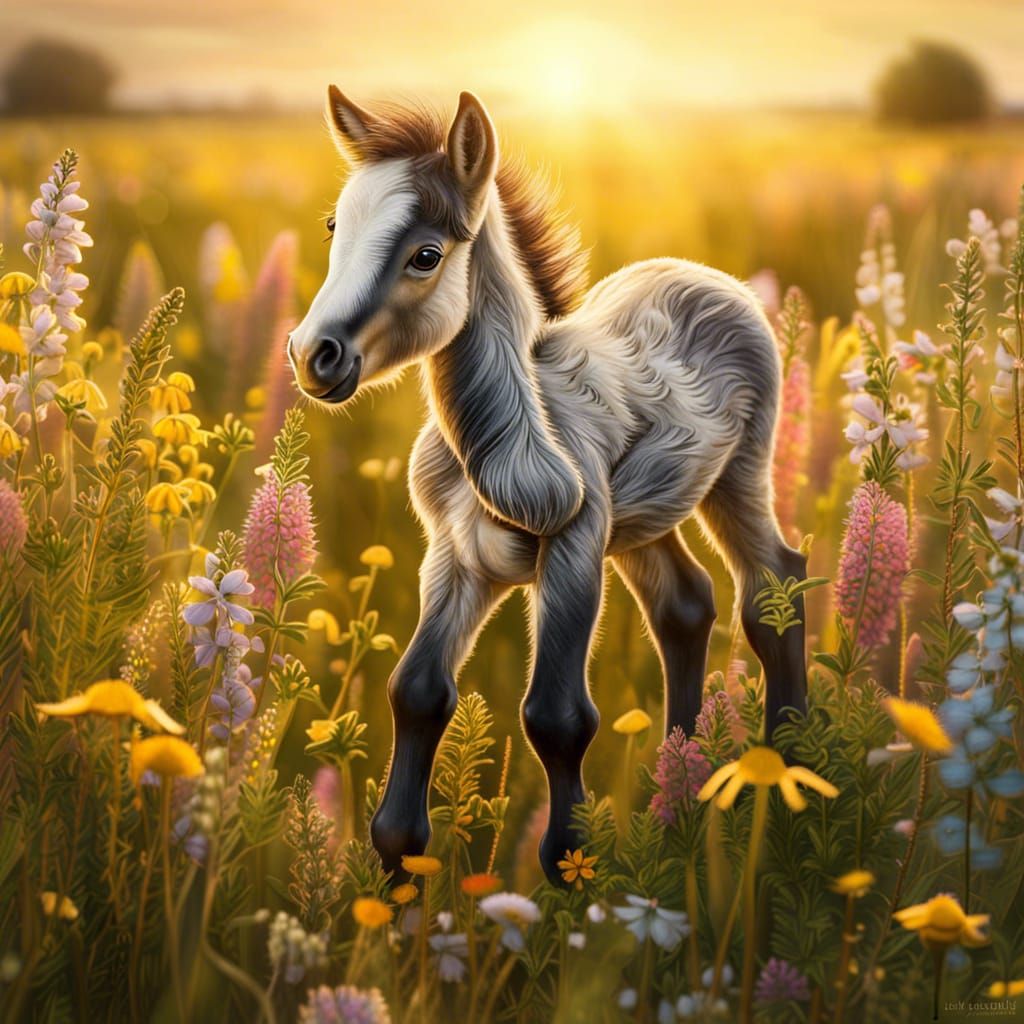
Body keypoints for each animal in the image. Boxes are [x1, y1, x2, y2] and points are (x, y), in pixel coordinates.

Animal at [287, 87, 808, 882]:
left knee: (774, 587)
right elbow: (416, 692)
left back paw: (788, 774)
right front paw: (394, 882)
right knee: (685, 604)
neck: (507, 446)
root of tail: (709, 276)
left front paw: (573, 875)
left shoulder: (573, 554)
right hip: (643, 522)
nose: (314, 355)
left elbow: (557, 718)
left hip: (736, 480)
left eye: (426, 255)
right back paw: (680, 790)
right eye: (334, 226)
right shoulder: (453, 557)